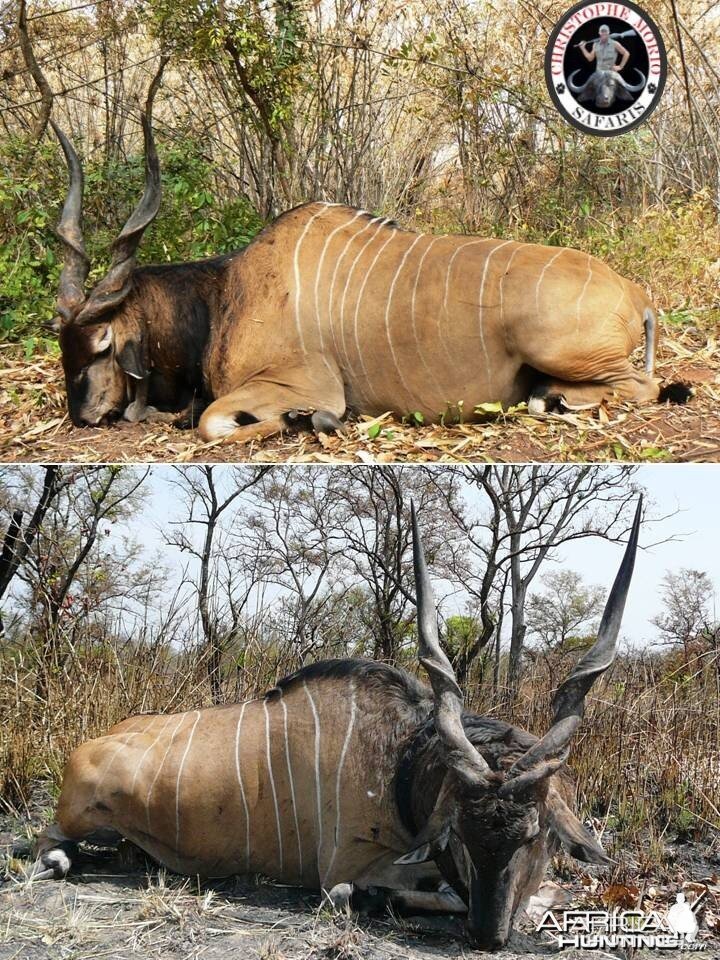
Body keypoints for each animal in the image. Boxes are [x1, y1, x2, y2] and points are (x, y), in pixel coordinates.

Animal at [32, 502, 640, 952]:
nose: (489, 938)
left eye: (535, 837)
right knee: (50, 845)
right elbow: (361, 892)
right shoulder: (342, 866)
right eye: (462, 836)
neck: (401, 761)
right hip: (75, 819)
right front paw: (386, 900)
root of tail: (87, 746)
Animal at [43, 63, 688, 446]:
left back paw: (551, 402)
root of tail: (635, 293)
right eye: (62, 343)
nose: (82, 415)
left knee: (643, 387)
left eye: (101, 344)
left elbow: (210, 422)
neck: (224, 295)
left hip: (564, 351)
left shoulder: (303, 381)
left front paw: (307, 420)